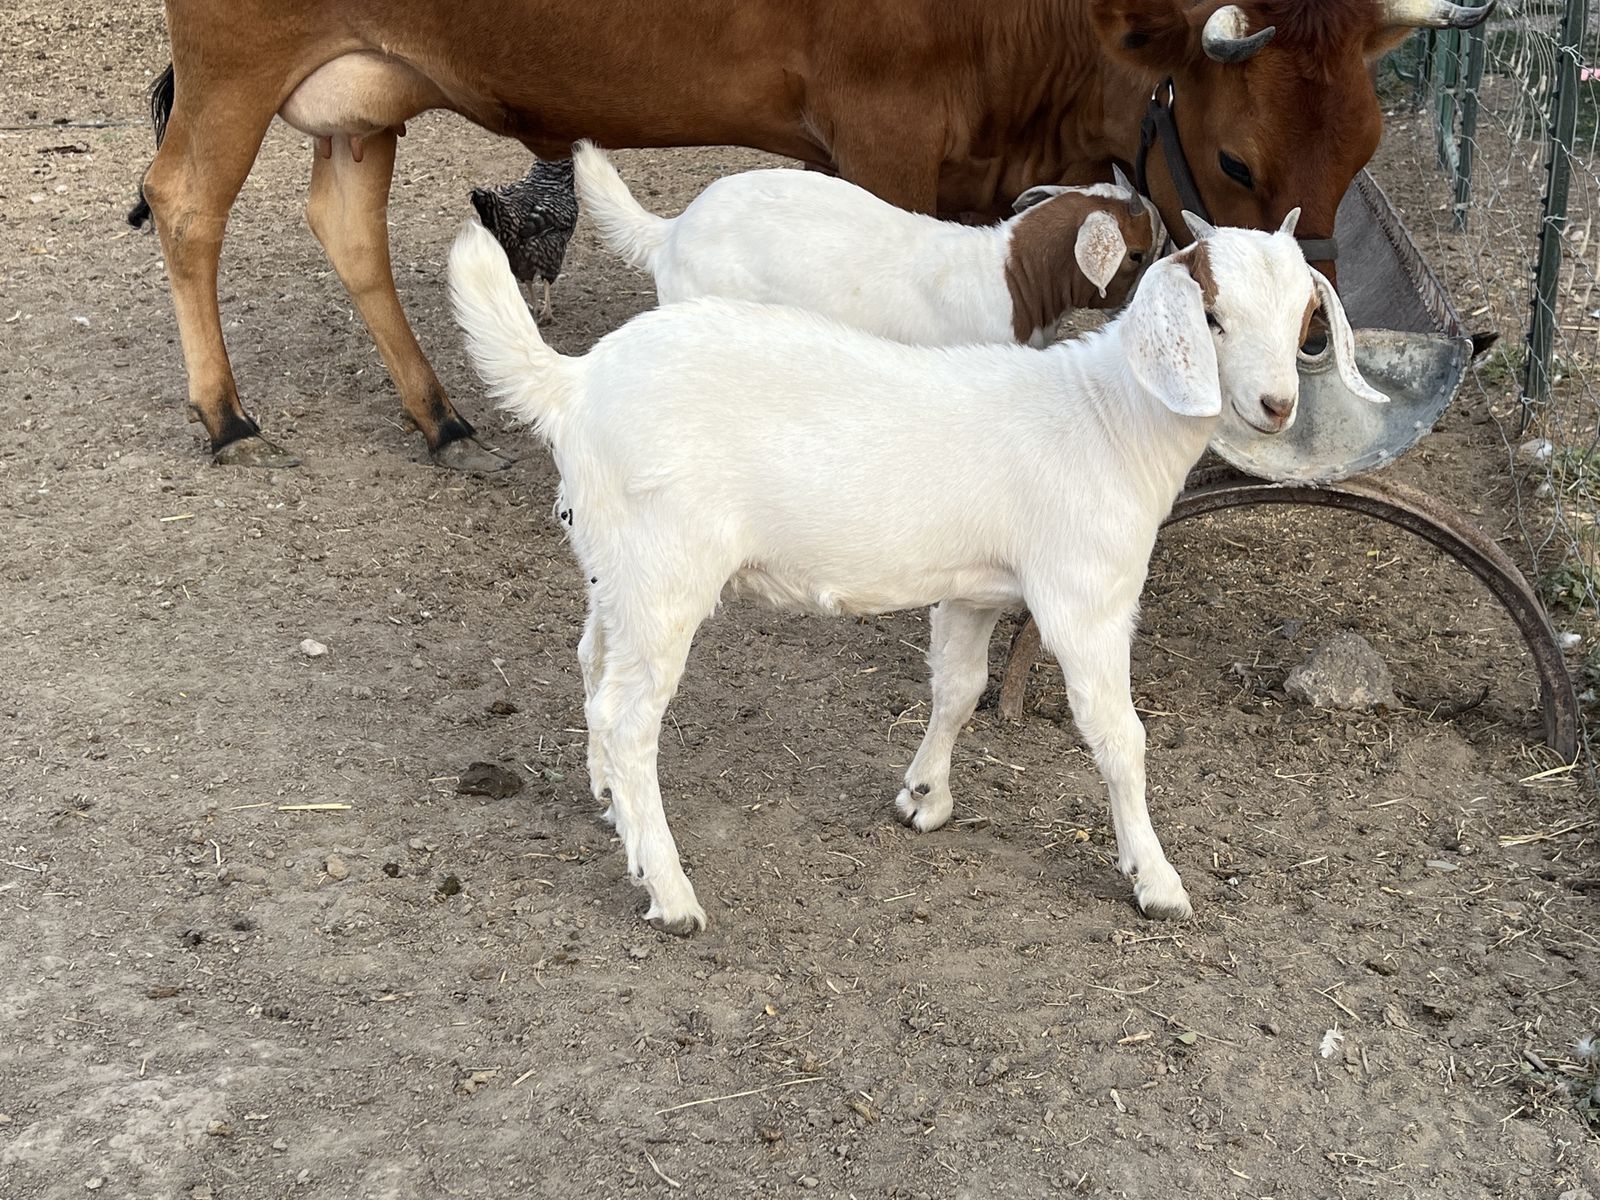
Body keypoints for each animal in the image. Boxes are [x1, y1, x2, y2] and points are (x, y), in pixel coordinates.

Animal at [447, 213, 1385, 934]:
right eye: (1213, 317)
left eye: (1308, 316)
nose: (1276, 406)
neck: (1111, 418)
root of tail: (574, 383)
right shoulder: (1086, 596)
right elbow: (1119, 737)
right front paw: (1155, 880)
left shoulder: (971, 589)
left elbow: (959, 689)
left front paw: (924, 797)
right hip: (666, 567)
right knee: (629, 715)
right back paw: (669, 889)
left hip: (615, 563)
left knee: (593, 666)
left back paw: (609, 799)